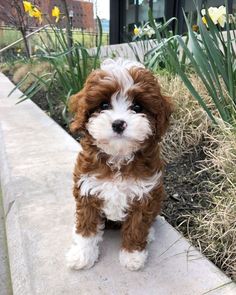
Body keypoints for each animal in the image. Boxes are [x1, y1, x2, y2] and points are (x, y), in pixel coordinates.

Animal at [65, 59, 172, 272]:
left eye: (137, 107)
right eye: (104, 104)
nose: (118, 124)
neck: (118, 158)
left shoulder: (145, 195)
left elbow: (137, 227)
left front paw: (132, 256)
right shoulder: (87, 189)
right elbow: (86, 227)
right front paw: (82, 254)